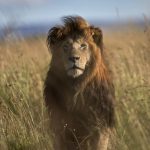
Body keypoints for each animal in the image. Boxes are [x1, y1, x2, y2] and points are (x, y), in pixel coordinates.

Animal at [44, 15, 115, 149]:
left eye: (83, 46)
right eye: (65, 47)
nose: (74, 58)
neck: (76, 87)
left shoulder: (100, 127)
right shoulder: (60, 128)